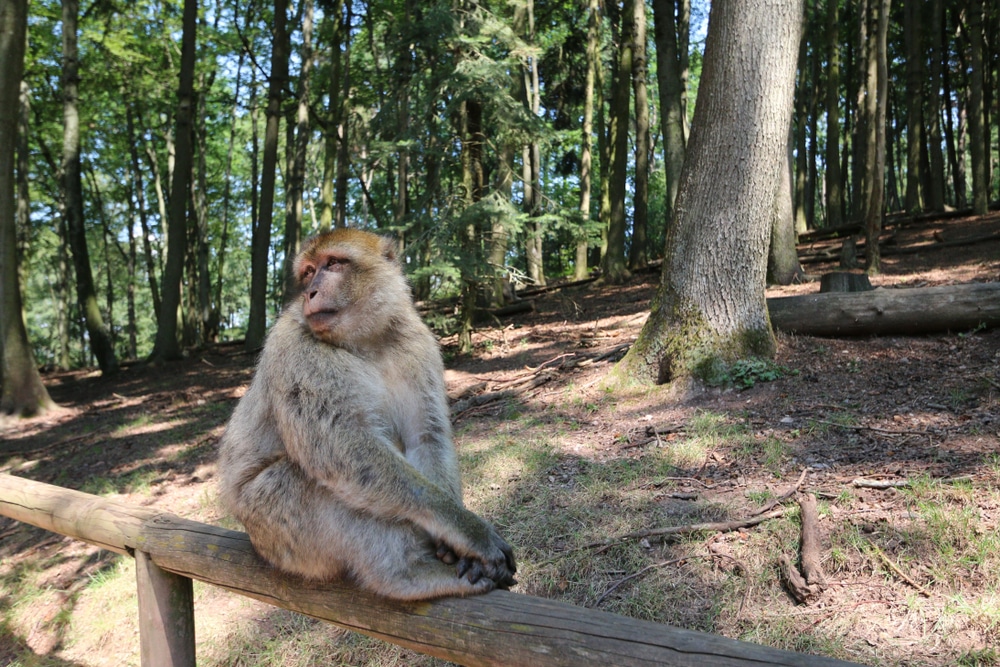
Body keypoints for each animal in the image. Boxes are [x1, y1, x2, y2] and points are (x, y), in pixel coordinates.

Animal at [218, 228, 516, 600]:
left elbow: (426, 436)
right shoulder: (296, 351)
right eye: (308, 272)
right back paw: (404, 575)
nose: (311, 291)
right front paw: (469, 532)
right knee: (314, 479)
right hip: (275, 530)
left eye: (333, 263)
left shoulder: (416, 343)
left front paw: (452, 538)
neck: (366, 341)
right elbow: (344, 450)